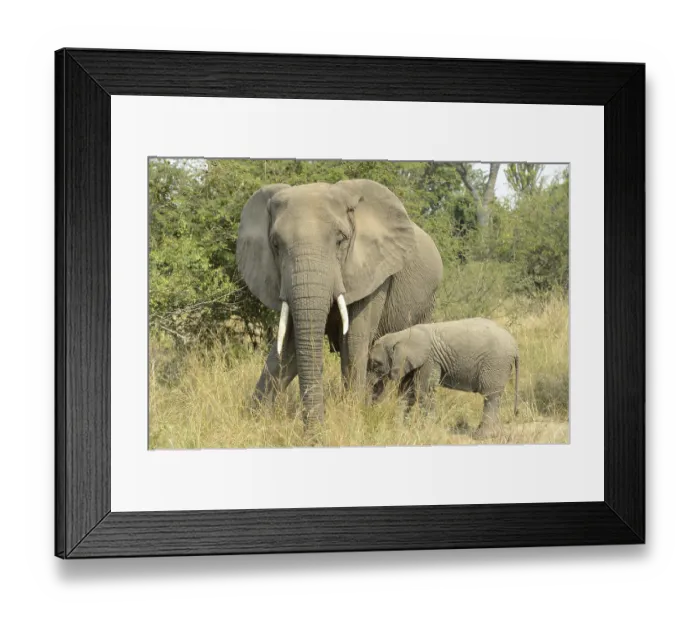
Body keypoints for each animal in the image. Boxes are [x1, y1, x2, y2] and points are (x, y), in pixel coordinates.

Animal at [236, 179, 444, 427]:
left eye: (341, 240)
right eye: (275, 245)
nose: (315, 427)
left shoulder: (375, 273)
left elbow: (353, 340)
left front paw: (353, 415)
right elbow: (290, 346)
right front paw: (253, 419)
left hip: (427, 302)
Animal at [367, 318, 520, 434]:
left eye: (376, 363)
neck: (400, 336)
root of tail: (515, 346)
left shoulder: (429, 360)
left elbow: (424, 391)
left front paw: (427, 429)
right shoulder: (413, 362)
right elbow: (406, 391)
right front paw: (399, 427)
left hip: (496, 363)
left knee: (490, 396)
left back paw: (482, 436)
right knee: (495, 397)